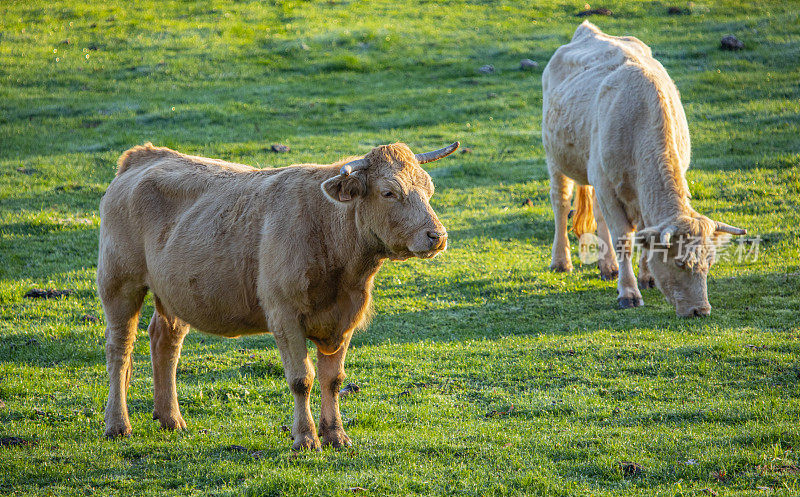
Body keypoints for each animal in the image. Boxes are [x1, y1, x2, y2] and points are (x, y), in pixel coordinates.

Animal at [98, 140, 456, 450]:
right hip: (119, 284)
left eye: (428, 189)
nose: (436, 236)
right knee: (120, 349)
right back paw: (117, 425)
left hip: (175, 294)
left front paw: (336, 435)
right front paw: (305, 438)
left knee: (165, 342)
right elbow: (302, 379)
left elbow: (333, 379)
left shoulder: (345, 319)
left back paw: (171, 419)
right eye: (388, 192)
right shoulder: (284, 315)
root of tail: (145, 155)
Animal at [540, 21, 748, 316]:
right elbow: (624, 240)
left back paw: (608, 267)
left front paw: (646, 278)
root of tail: (588, 29)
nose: (701, 310)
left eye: (709, 262)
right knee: (560, 202)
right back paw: (561, 261)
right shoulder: (606, 185)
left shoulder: (628, 189)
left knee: (598, 214)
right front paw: (628, 293)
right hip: (555, 157)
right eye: (680, 262)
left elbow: (644, 234)